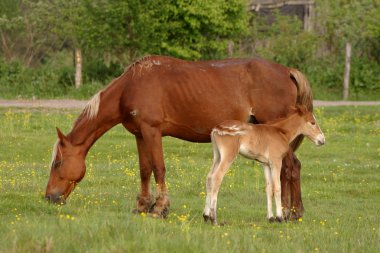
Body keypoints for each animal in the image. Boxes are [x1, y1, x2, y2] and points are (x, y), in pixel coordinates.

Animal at [45, 54, 312, 219]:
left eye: (57, 163)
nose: (49, 197)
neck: (130, 86)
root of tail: (286, 71)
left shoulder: (152, 132)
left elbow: (159, 168)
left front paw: (160, 208)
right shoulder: (140, 135)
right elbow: (145, 170)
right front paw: (142, 206)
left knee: (292, 167)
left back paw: (291, 213)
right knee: (287, 169)